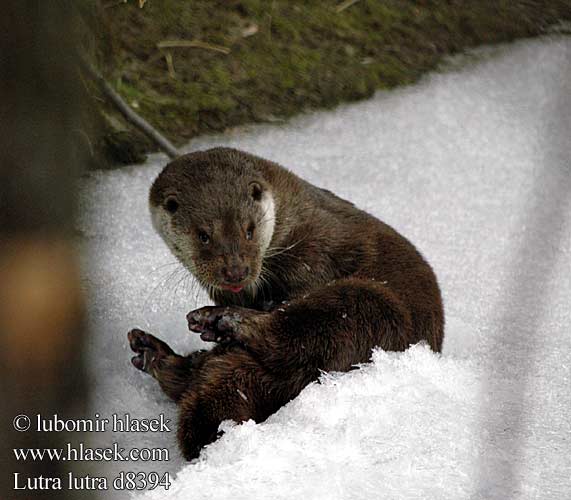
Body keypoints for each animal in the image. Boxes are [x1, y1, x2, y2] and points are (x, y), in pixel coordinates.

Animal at [127, 146, 444, 458]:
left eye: (249, 230)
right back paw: (156, 355)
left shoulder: (319, 251)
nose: (236, 270)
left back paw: (223, 320)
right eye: (203, 235)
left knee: (298, 333)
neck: (291, 225)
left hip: (373, 305)